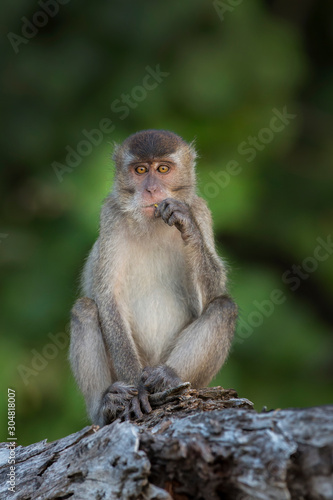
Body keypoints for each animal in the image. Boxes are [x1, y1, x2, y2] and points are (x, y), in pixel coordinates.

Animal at [69, 130, 236, 426]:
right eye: (140, 170)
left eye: (163, 169)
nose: (151, 190)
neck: (151, 224)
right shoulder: (110, 216)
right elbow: (109, 299)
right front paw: (137, 392)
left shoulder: (201, 210)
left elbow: (212, 295)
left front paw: (187, 226)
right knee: (85, 309)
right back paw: (105, 406)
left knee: (223, 307)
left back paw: (168, 377)